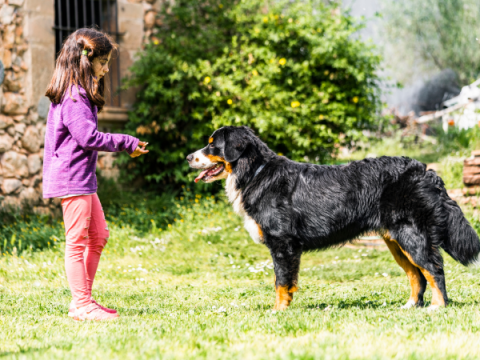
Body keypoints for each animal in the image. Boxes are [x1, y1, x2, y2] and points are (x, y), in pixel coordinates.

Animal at [187, 126, 480, 310]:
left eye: (213, 144)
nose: (189, 156)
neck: (256, 173)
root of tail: (424, 170)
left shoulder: (283, 243)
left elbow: (281, 282)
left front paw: (278, 311)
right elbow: (286, 283)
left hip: (411, 235)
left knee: (434, 269)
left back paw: (438, 306)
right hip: (396, 241)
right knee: (416, 274)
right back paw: (411, 306)